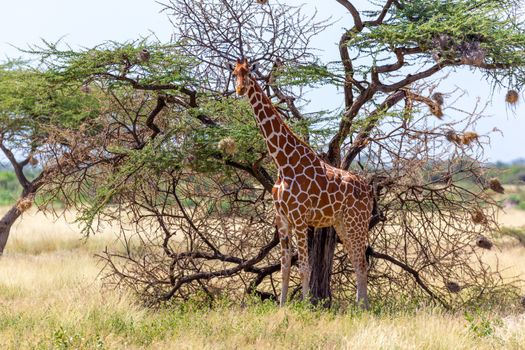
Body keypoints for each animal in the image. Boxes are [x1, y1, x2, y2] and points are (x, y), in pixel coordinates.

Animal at [229, 58, 372, 308]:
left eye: (248, 73)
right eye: (234, 73)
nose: (239, 89)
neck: (283, 163)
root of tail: (370, 192)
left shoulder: (300, 219)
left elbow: (305, 266)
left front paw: (305, 306)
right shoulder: (282, 219)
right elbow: (285, 266)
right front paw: (282, 306)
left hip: (357, 222)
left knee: (361, 262)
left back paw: (362, 307)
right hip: (342, 224)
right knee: (357, 261)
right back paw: (359, 307)